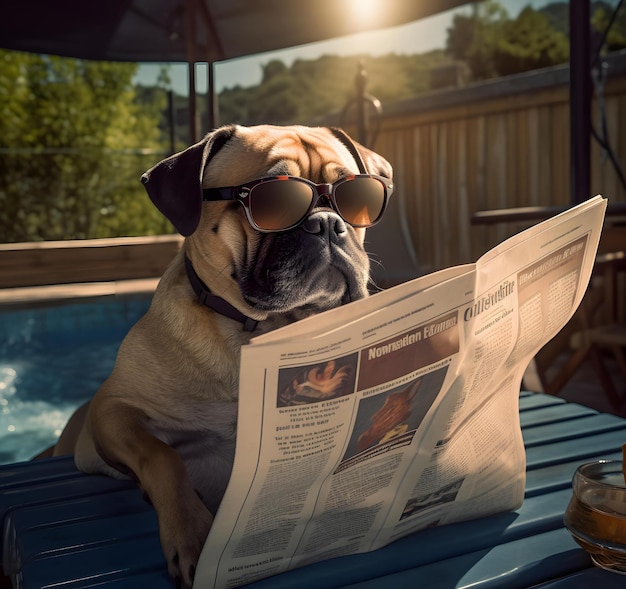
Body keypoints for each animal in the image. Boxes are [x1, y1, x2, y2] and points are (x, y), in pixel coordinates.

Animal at [46, 123, 392, 584]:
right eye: (274, 202)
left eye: (355, 197)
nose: (328, 223)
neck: (263, 329)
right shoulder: (111, 410)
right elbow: (163, 456)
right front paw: (191, 533)